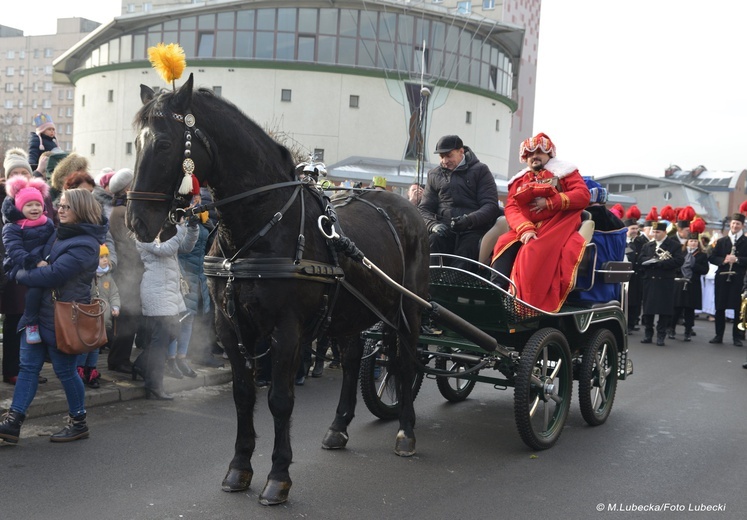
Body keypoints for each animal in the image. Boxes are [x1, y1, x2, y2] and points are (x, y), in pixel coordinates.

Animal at [126, 73, 430, 504]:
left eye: (165, 144)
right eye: (135, 143)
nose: (137, 221)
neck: (260, 225)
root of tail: (409, 210)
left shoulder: (286, 330)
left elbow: (280, 400)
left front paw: (278, 476)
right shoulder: (231, 328)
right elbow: (243, 395)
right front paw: (239, 468)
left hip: (407, 310)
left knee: (404, 363)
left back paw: (405, 430)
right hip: (349, 312)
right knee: (353, 360)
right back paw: (339, 426)